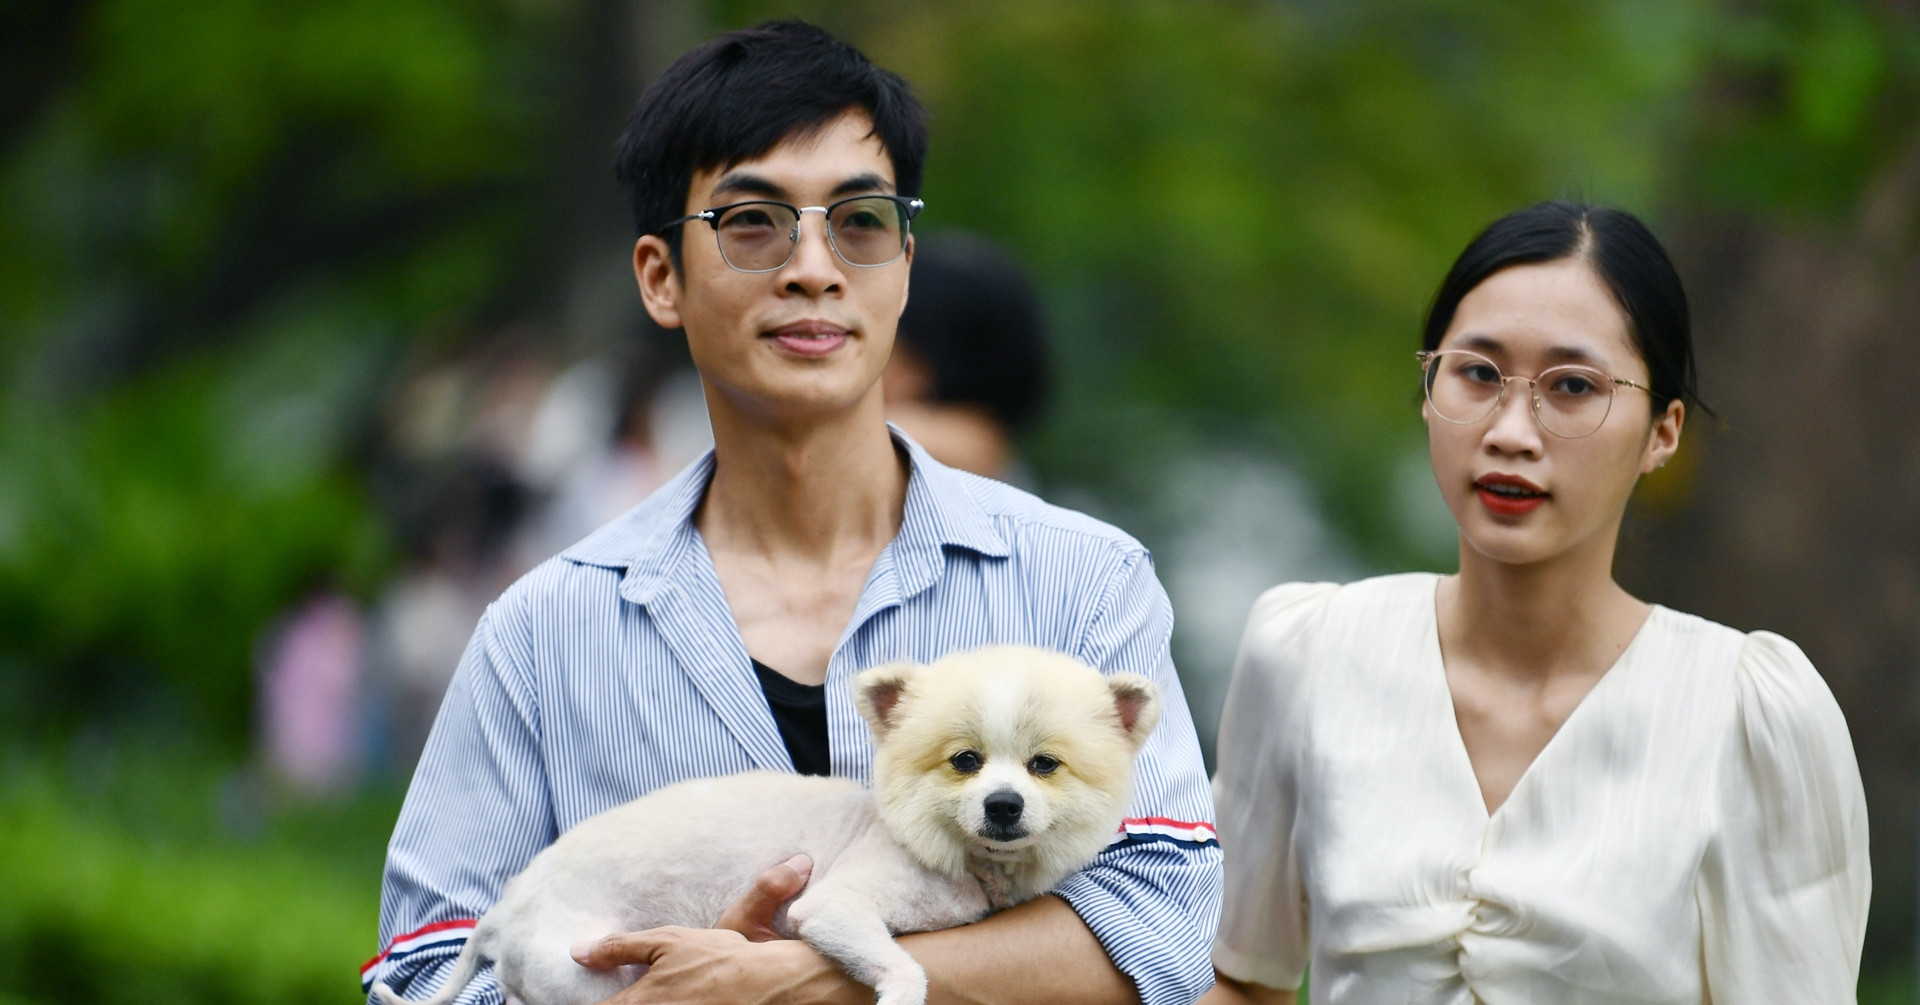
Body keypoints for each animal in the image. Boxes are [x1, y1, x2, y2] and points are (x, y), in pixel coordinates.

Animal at [368, 645, 1159, 1005]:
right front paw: (902, 992)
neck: (959, 859)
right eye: (965, 761)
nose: (1002, 804)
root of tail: (507, 910)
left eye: (1044, 766)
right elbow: (903, 963)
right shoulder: (832, 907)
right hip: (591, 975)